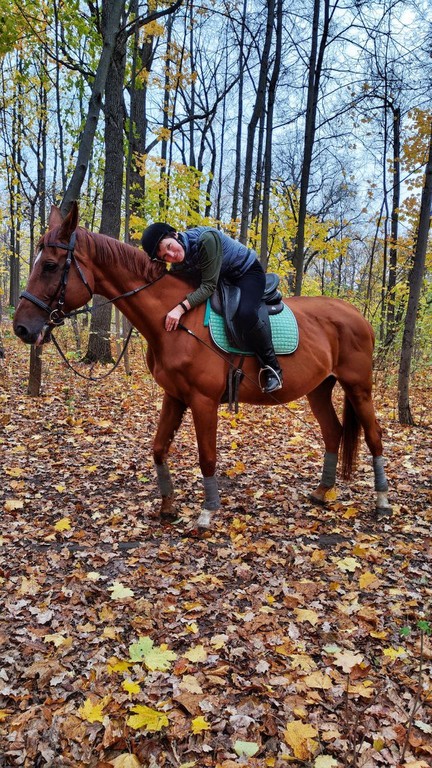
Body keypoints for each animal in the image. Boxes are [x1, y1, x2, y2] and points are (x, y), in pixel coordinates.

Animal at [12, 202, 392, 528]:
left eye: (50, 265)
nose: (22, 328)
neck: (176, 321)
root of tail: (357, 315)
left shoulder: (203, 401)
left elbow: (206, 457)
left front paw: (207, 514)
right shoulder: (175, 396)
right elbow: (159, 449)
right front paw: (168, 507)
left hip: (358, 386)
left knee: (374, 436)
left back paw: (383, 502)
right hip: (319, 388)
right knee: (333, 432)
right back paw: (322, 492)